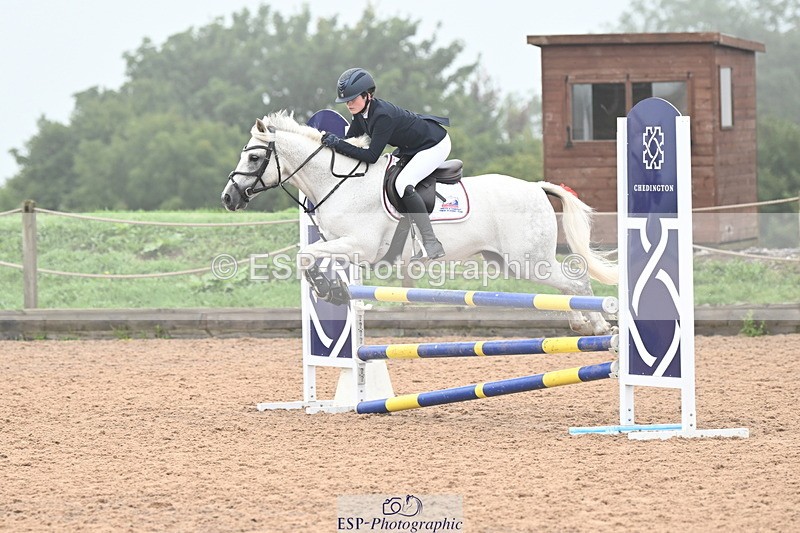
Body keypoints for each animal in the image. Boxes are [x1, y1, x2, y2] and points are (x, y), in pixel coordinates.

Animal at [221, 111, 618, 335]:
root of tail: (536, 187)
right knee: (566, 284)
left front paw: (328, 288)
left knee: (574, 281)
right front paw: (330, 289)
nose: (228, 198)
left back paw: (597, 324)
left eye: (254, 157)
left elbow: (307, 255)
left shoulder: (360, 246)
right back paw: (580, 321)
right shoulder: (340, 244)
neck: (341, 181)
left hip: (529, 260)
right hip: (512, 262)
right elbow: (311, 256)